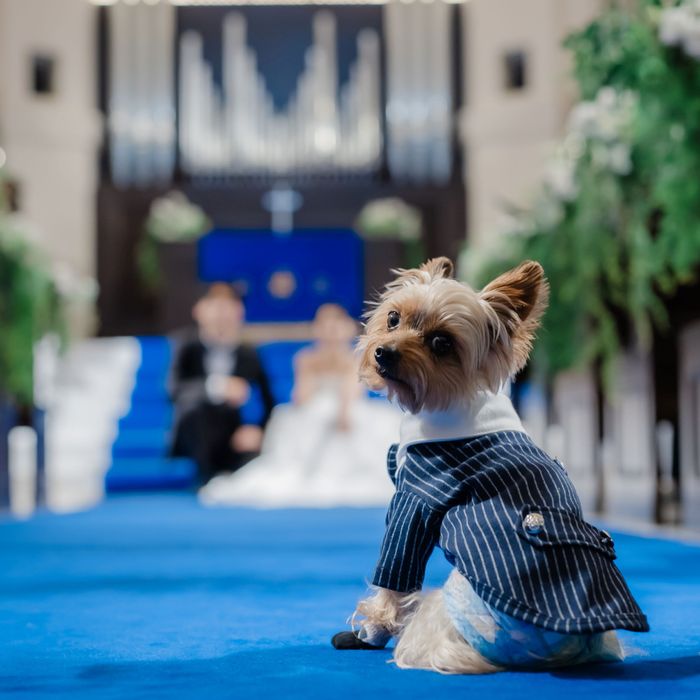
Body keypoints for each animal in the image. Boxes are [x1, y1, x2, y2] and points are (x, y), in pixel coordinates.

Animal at [330, 258, 648, 672]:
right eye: (394, 318)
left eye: (441, 343)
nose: (383, 352)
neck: (450, 404)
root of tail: (562, 649)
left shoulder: (414, 501)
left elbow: (394, 574)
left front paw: (372, 629)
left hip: (448, 607)